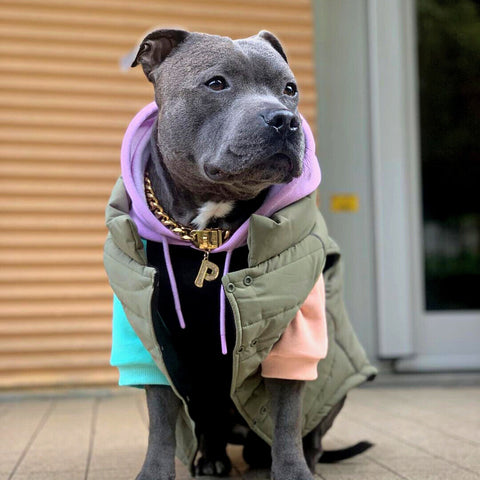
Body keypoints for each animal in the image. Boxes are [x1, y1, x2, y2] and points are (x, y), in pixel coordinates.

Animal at [129, 29, 348, 480]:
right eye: (216, 83)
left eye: (289, 89)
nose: (284, 119)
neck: (208, 234)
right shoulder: (149, 332)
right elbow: (160, 416)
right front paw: (154, 471)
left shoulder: (294, 330)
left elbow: (287, 415)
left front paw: (293, 471)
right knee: (209, 422)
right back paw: (212, 458)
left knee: (308, 434)